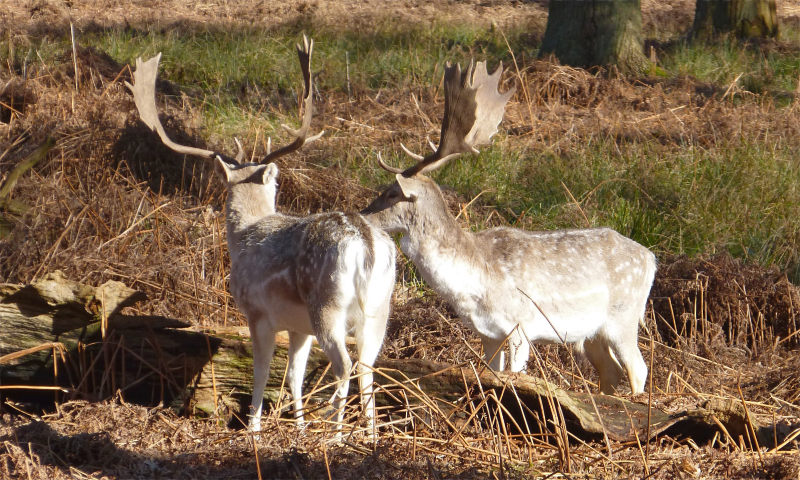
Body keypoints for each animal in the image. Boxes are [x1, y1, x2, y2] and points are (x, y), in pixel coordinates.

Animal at [126, 36, 397, 435]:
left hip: (327, 303)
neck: (244, 236)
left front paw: (252, 426)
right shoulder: (298, 328)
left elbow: (262, 371)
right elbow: (294, 377)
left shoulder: (257, 313)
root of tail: (365, 241)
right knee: (368, 367)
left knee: (345, 365)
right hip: (380, 307)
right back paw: (370, 435)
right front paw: (298, 428)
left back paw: (335, 435)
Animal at [361, 60, 655, 394]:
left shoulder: (521, 325)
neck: (473, 281)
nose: (362, 214)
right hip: (593, 332)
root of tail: (651, 259)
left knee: (638, 368)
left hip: (624, 315)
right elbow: (491, 373)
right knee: (611, 371)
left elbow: (516, 375)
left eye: (391, 193)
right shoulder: (488, 333)